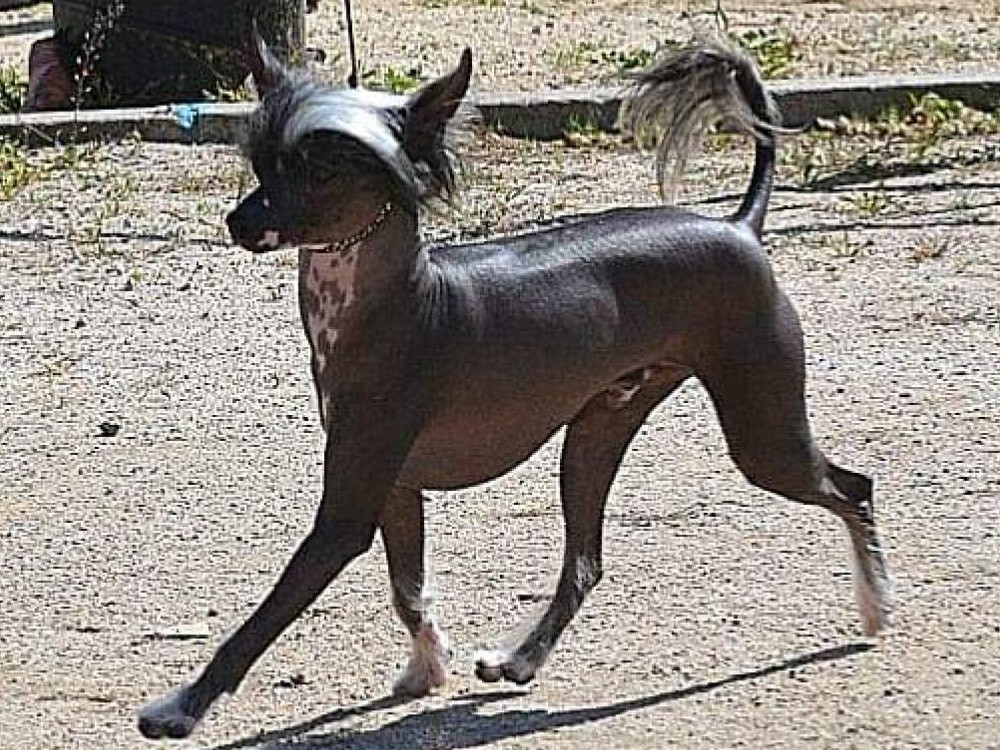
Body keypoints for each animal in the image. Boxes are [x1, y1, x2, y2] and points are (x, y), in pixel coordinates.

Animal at [137, 34, 891, 739]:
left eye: (319, 169)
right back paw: (521, 659)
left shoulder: (347, 512)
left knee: (854, 488)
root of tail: (738, 226)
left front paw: (181, 707)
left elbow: (262, 620)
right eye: (262, 163)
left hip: (761, 433)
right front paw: (428, 666)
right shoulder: (396, 492)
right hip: (595, 435)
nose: (238, 221)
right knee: (586, 561)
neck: (399, 302)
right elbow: (408, 592)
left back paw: (877, 606)